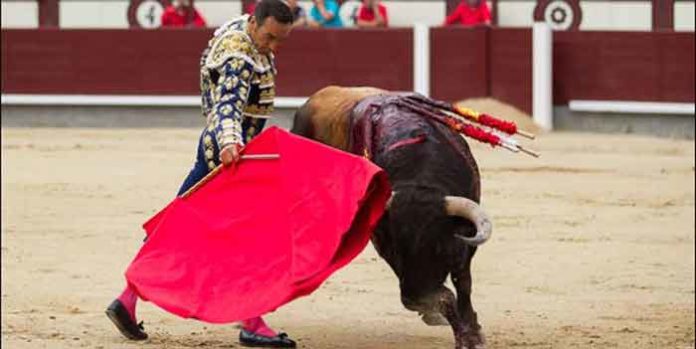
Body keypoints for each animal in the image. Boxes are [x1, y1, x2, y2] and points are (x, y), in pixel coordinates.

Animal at [290, 86, 492, 348]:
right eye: (396, 246)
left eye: (438, 246)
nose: (413, 295)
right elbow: (446, 296)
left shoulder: (465, 242)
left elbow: (463, 282)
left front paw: (472, 332)